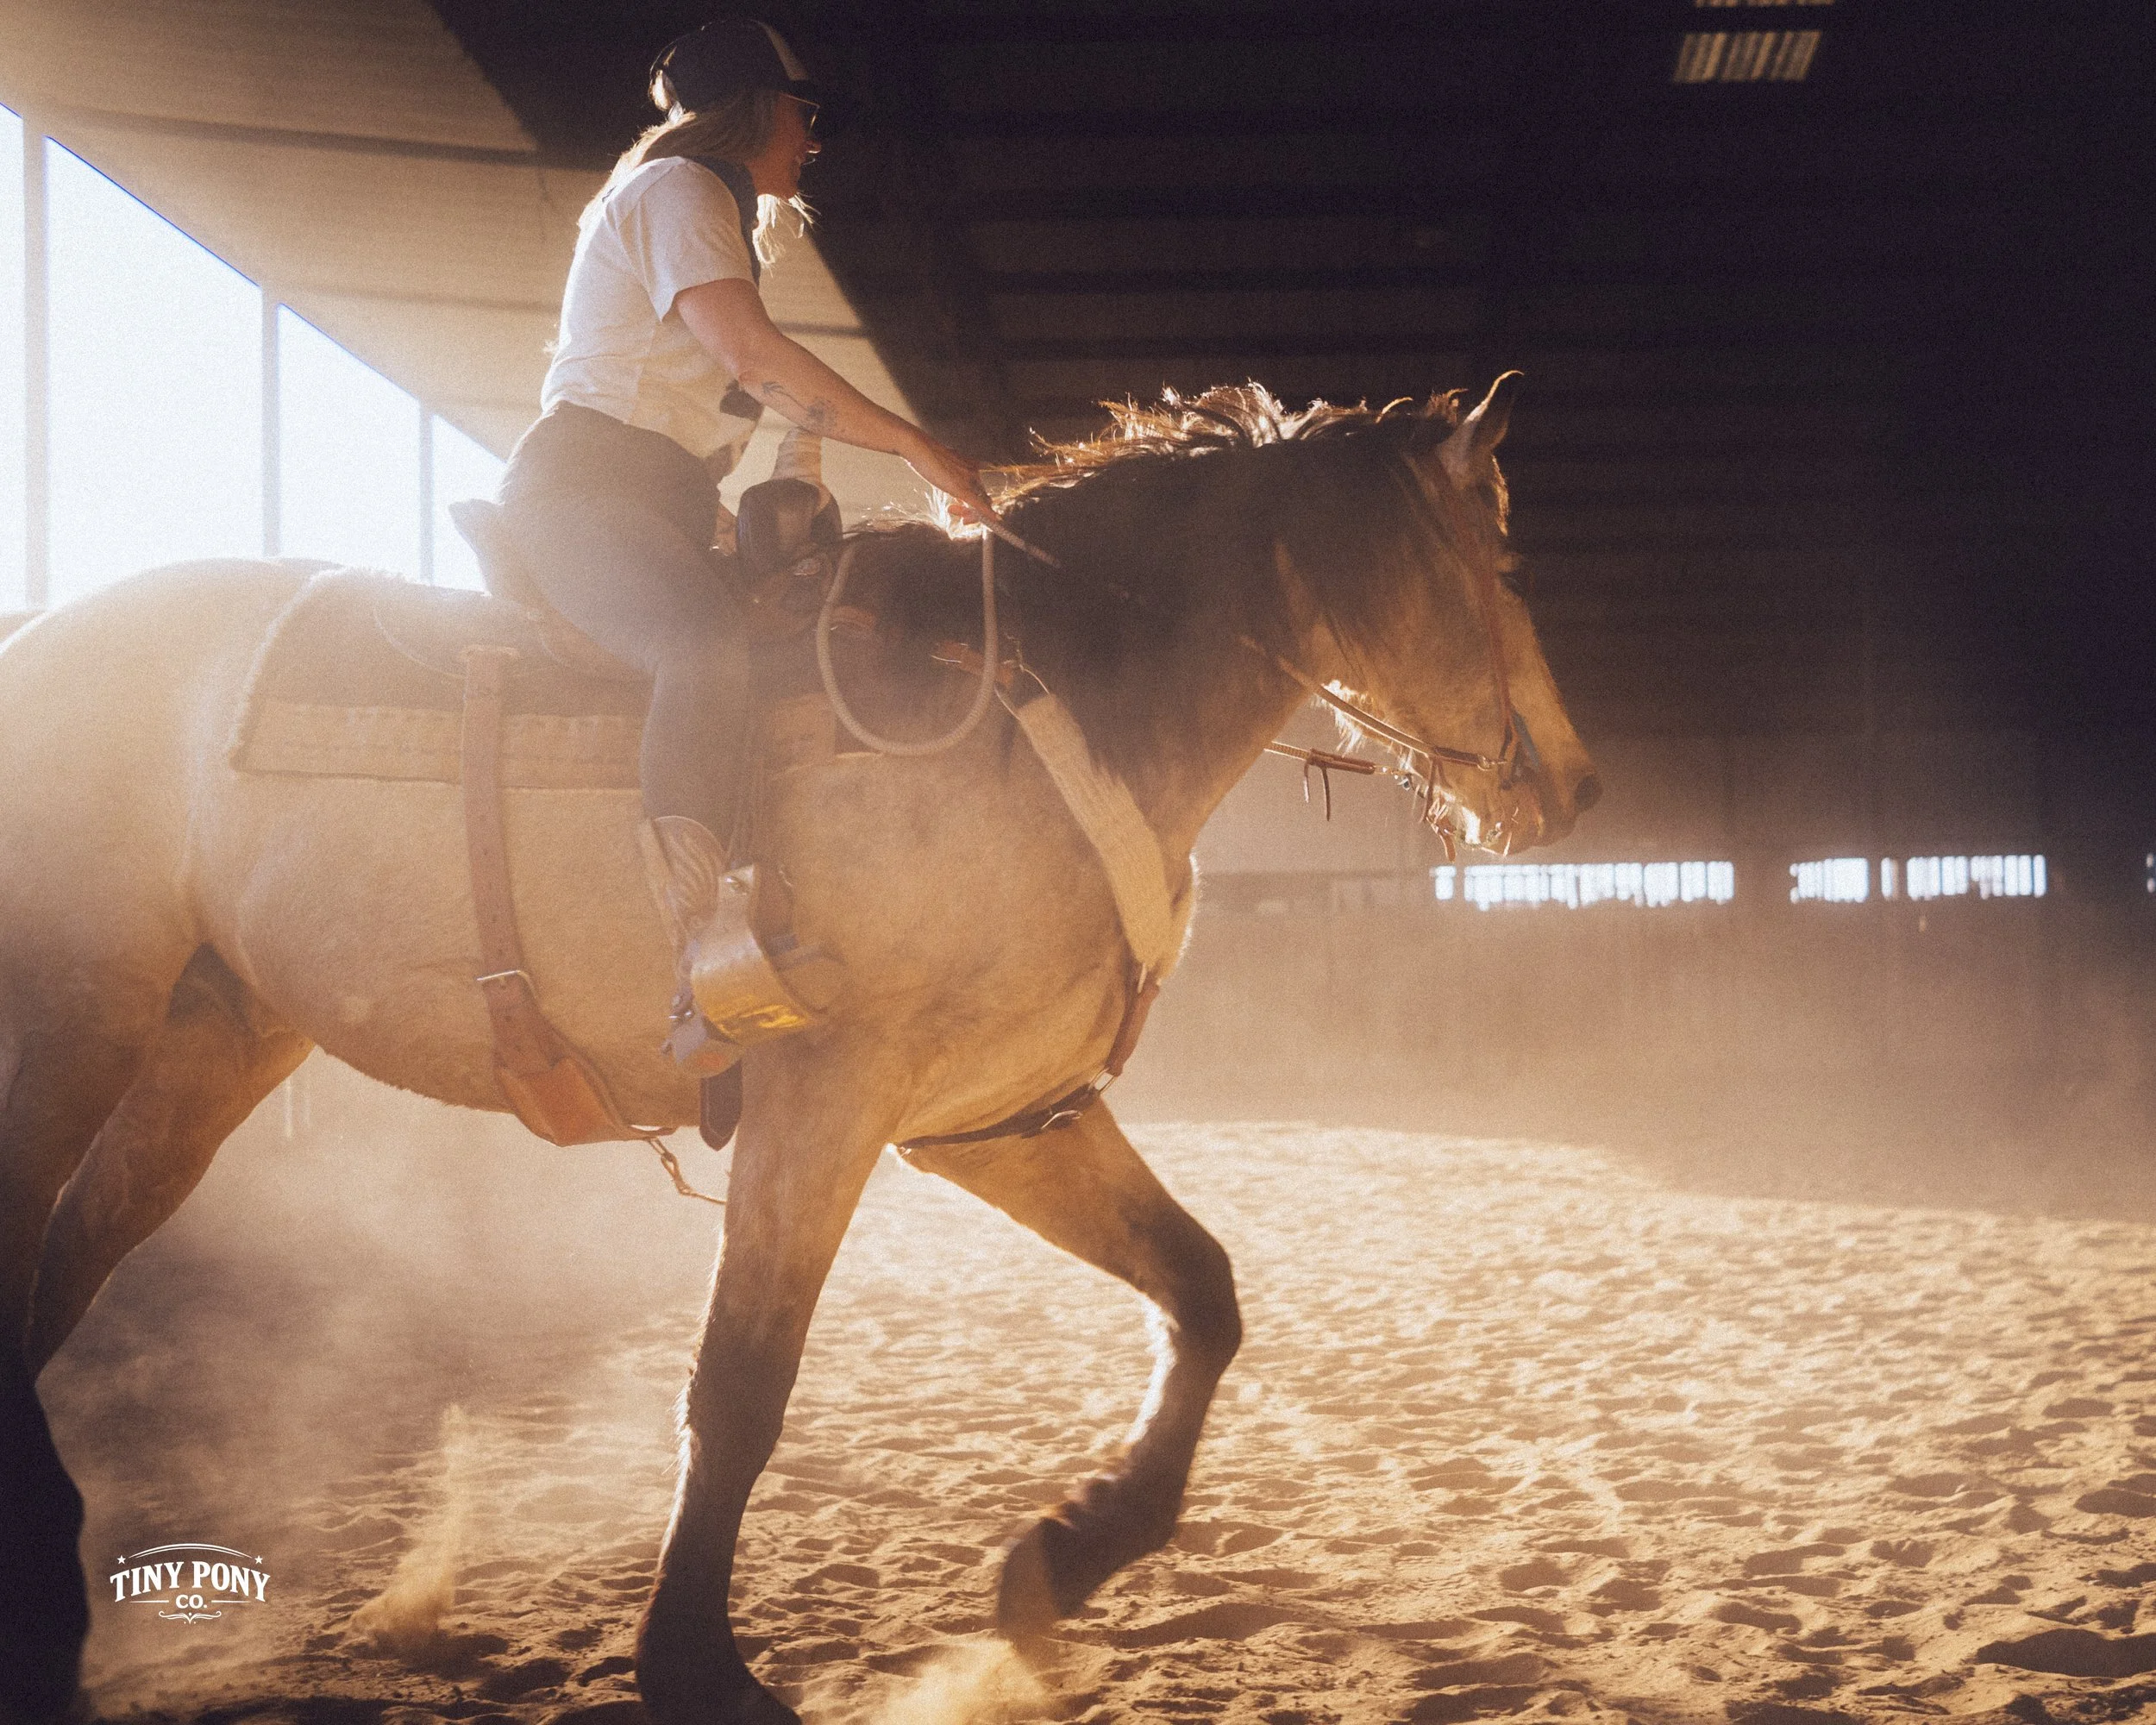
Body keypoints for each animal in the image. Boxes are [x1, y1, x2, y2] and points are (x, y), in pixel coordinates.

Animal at [0, 377, 1597, 1723]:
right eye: (1500, 566)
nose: (1572, 788)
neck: (1033, 709)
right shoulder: (827, 1101)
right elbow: (741, 1385)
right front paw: (692, 1663)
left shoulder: (995, 1120)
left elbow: (1200, 1294)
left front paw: (1068, 1551)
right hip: (70, 1017)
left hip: (212, 1042)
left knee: (69, 1257)